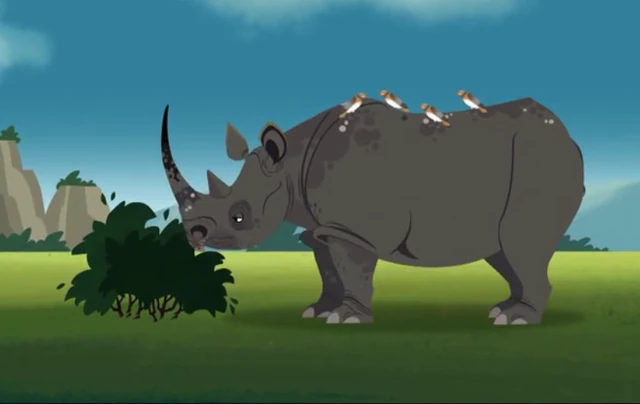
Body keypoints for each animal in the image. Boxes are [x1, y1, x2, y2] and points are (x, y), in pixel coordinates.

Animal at [160, 96, 584, 326]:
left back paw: (515, 320)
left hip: (540, 158)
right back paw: (502, 310)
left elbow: (352, 270)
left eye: (239, 214)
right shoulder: (322, 227)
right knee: (503, 250)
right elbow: (327, 267)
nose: (194, 234)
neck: (290, 168)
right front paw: (318, 310)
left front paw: (344, 318)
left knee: (521, 243)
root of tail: (568, 136)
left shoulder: (353, 229)